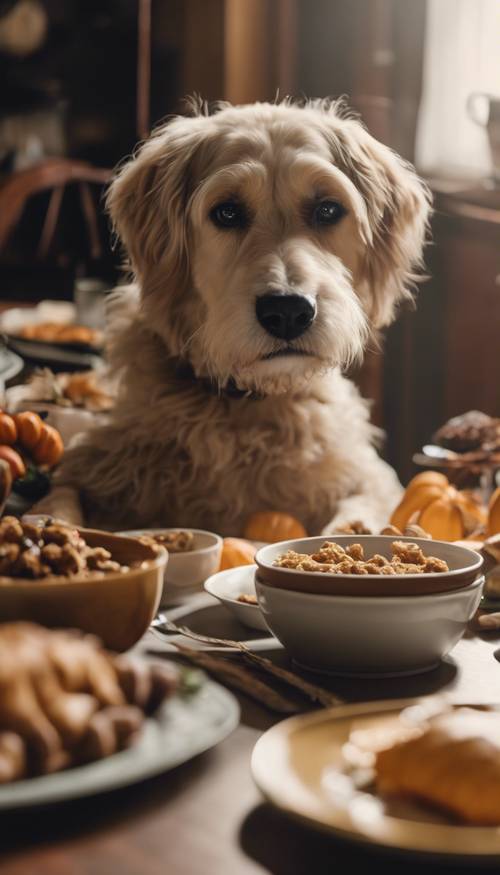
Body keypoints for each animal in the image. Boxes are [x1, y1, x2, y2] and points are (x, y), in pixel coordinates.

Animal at [52, 97, 432, 532]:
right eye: (227, 213)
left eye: (328, 209)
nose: (288, 312)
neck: (246, 405)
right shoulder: (91, 470)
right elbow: (60, 505)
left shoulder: (373, 478)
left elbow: (358, 513)